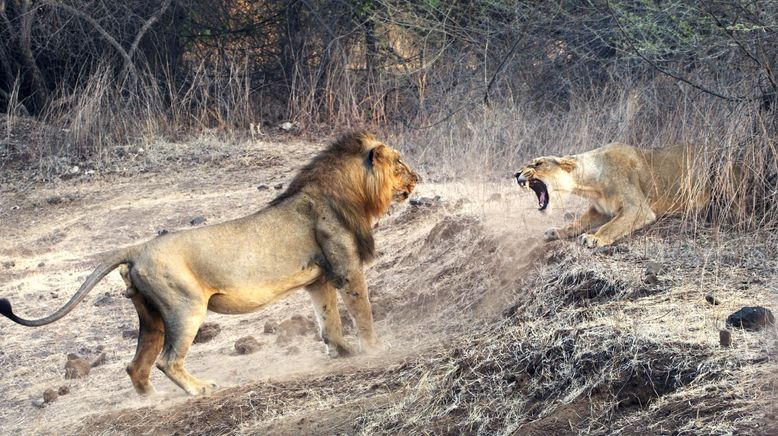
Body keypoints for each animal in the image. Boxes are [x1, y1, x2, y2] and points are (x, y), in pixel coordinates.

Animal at [0, 129, 418, 396]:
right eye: (400, 162)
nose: (417, 177)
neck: (350, 195)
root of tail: (136, 249)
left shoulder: (318, 280)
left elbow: (328, 321)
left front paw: (343, 352)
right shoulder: (346, 270)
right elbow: (362, 312)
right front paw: (376, 349)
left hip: (152, 317)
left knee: (136, 366)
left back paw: (151, 401)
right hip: (185, 308)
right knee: (168, 360)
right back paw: (199, 389)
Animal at [516, 142, 704, 247]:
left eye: (537, 164)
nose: (515, 173)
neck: (589, 186)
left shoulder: (637, 208)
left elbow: (611, 226)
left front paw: (593, 238)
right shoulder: (600, 209)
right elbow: (577, 222)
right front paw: (556, 232)